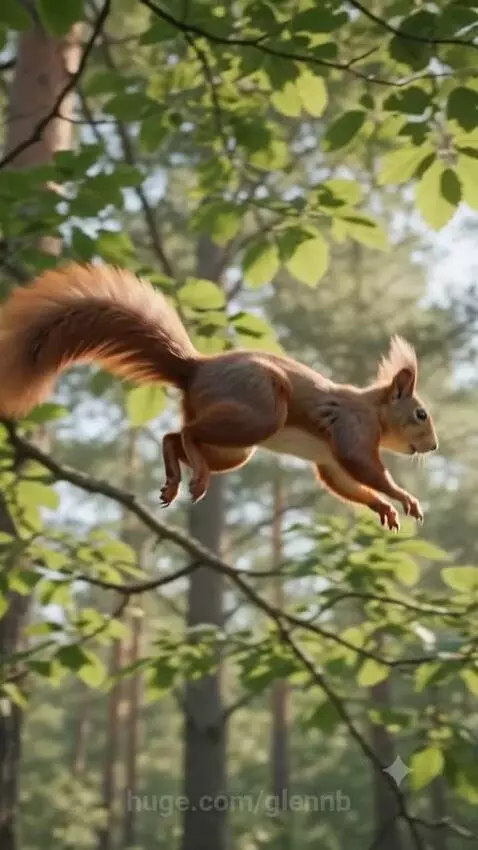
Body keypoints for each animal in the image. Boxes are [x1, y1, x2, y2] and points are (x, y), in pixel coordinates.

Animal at [0, 262, 438, 531]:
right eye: (420, 414)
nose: (433, 447)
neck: (374, 411)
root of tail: (195, 369)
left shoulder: (329, 459)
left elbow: (345, 483)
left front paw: (383, 508)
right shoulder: (352, 429)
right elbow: (365, 468)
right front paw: (405, 499)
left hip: (237, 448)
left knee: (174, 436)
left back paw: (175, 480)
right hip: (260, 411)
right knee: (186, 433)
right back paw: (195, 478)